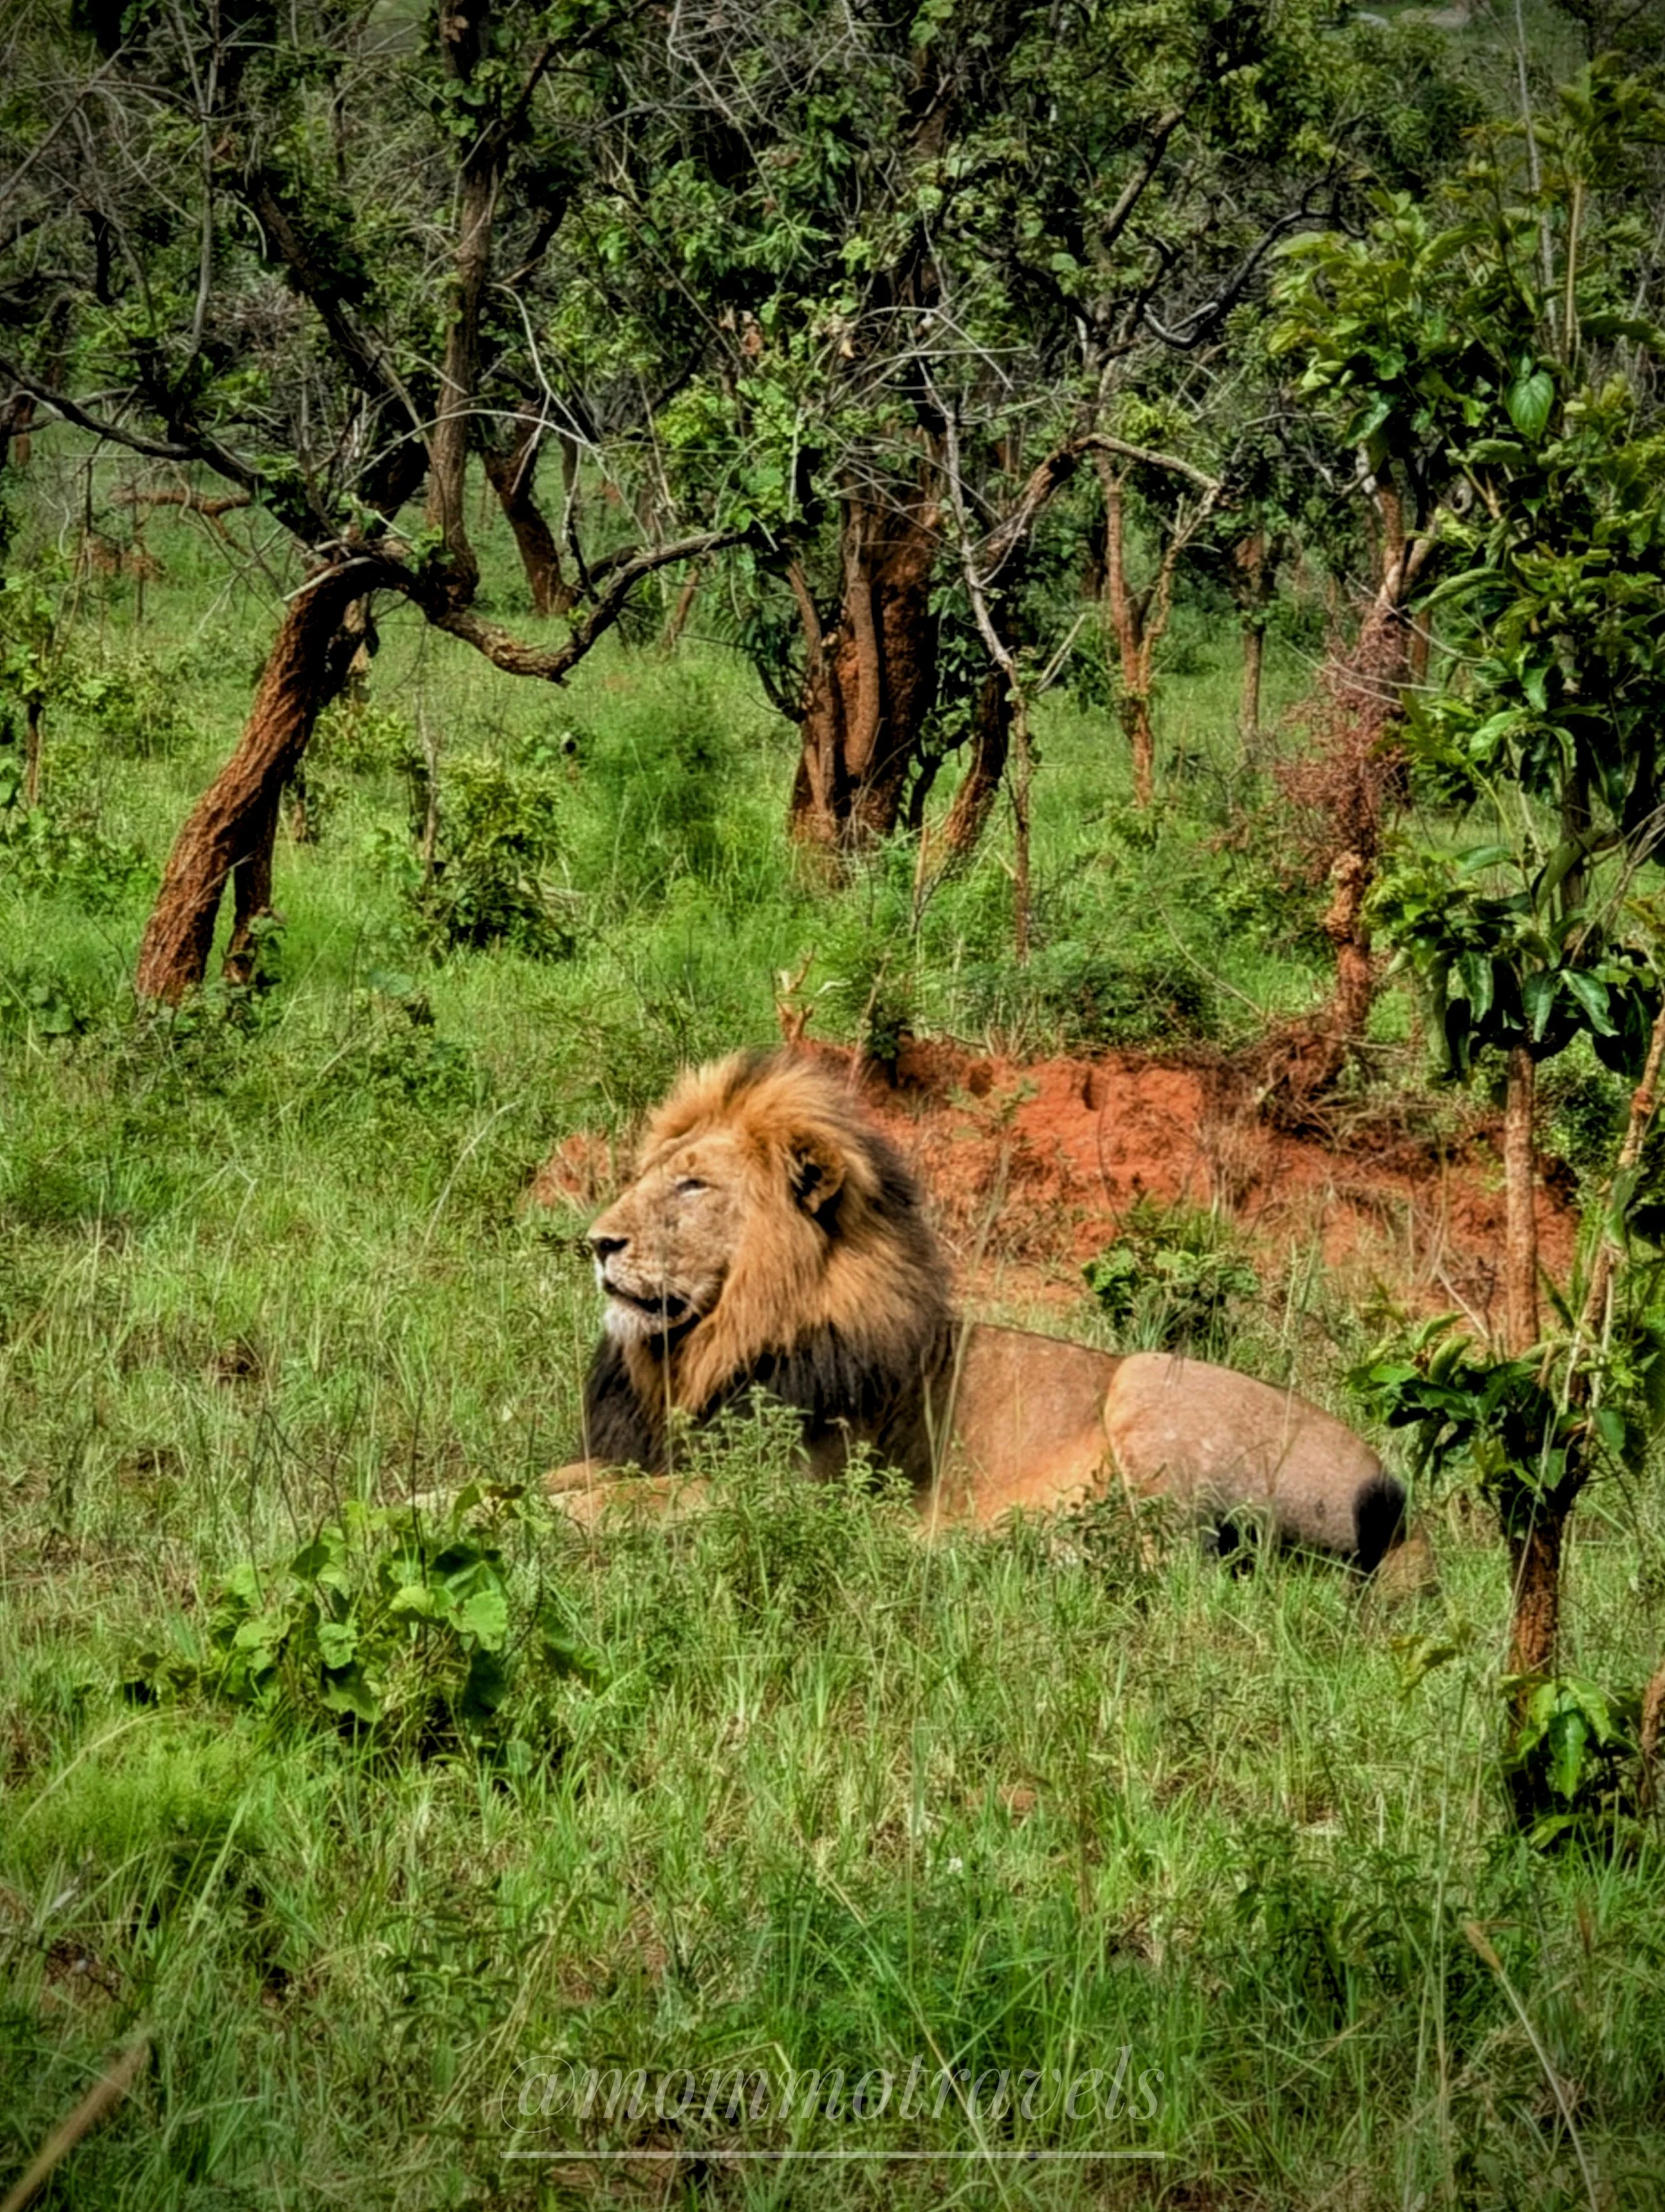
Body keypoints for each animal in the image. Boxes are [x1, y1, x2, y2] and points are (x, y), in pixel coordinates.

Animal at [550, 1049, 1410, 1571]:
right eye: (650, 1175)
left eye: (693, 1185)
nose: (596, 1242)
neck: (702, 1355)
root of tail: (1404, 1508)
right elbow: (567, 1477)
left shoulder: (777, 1491)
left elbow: (623, 1504)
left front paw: (537, 1520)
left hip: (1146, 1386)